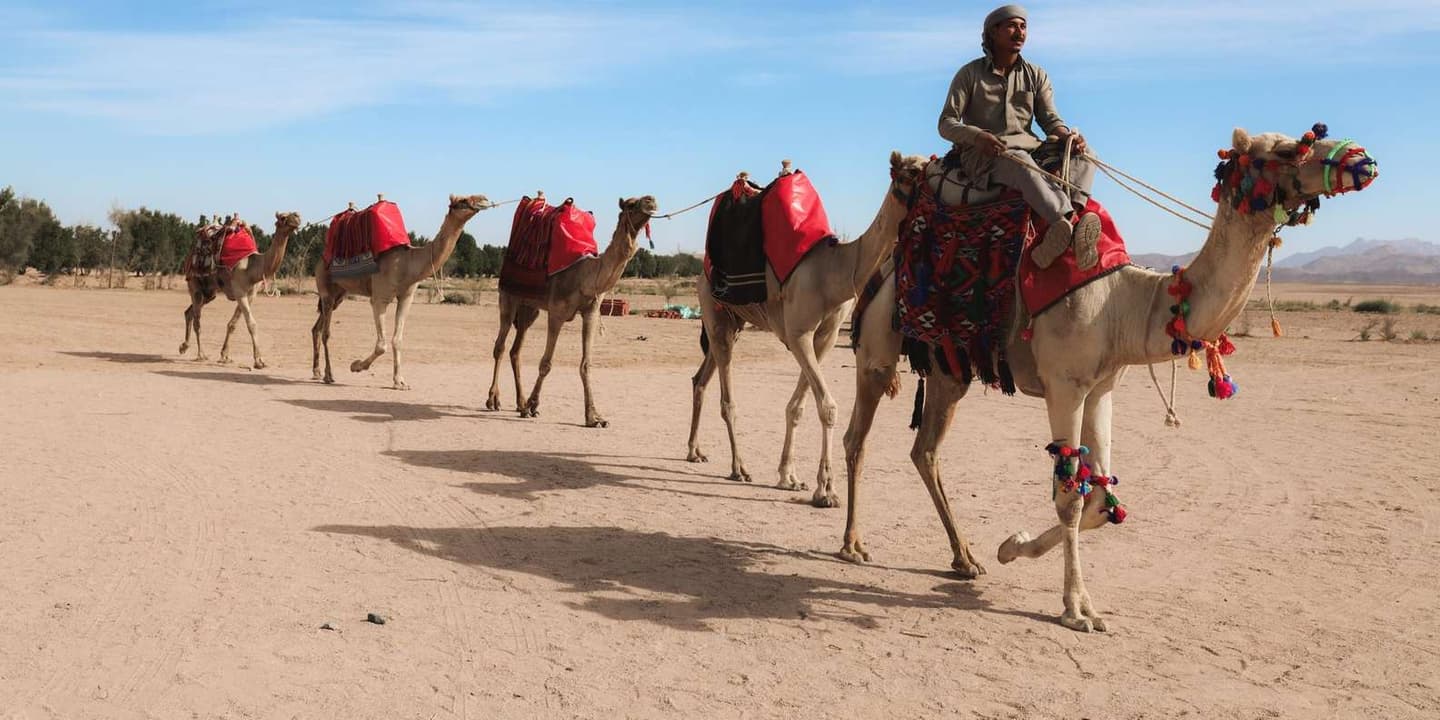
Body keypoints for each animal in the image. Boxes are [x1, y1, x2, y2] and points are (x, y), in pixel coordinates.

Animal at [179, 211, 302, 368]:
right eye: (283, 217)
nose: (297, 217)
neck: (253, 266)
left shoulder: (250, 293)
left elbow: (233, 324)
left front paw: (225, 356)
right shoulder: (239, 291)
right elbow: (252, 324)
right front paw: (259, 361)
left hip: (209, 292)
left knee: (189, 312)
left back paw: (184, 347)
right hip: (194, 284)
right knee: (197, 320)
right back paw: (201, 355)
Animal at [312, 194, 492, 389]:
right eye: (463, 200)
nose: (484, 199)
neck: (408, 263)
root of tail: (321, 259)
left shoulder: (406, 296)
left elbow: (397, 340)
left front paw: (400, 381)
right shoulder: (379, 297)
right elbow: (381, 345)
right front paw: (356, 366)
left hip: (340, 294)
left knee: (317, 328)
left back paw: (316, 372)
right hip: (325, 287)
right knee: (326, 332)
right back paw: (328, 375)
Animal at [484, 195, 659, 427]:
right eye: (630, 204)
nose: (651, 200)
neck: (586, 276)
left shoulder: (591, 312)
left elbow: (586, 364)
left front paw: (594, 417)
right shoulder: (557, 312)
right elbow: (546, 363)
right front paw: (533, 405)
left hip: (529, 307)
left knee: (516, 350)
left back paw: (519, 403)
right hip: (508, 297)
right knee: (500, 346)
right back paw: (494, 400)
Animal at [685, 152, 929, 507]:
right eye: (910, 172)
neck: (836, 272)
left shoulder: (826, 336)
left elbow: (797, 406)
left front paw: (790, 476)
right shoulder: (798, 333)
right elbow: (827, 406)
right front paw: (825, 490)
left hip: (734, 321)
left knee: (701, 378)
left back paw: (694, 451)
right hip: (714, 311)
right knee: (727, 398)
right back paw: (739, 467)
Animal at [841, 127, 1377, 632]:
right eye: (1288, 149)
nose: (1362, 160)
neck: (1125, 302)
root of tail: (885, 264)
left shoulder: (1101, 387)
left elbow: (1099, 498)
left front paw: (1010, 546)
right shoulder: (1064, 386)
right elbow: (1069, 499)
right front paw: (1077, 609)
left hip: (951, 368)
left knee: (925, 450)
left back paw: (965, 558)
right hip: (877, 352)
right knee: (858, 437)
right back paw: (853, 545)